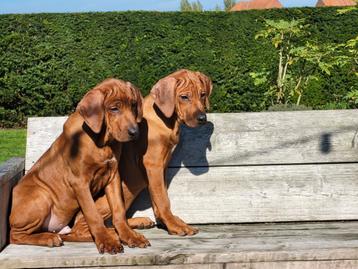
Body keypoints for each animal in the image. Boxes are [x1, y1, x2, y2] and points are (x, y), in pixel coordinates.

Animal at [9, 78, 149, 253]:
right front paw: (107, 241)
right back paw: (49, 238)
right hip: (41, 196)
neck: (101, 142)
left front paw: (129, 235)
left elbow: (119, 211)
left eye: (133, 106)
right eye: (114, 109)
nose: (135, 132)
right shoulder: (80, 182)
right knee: (16, 235)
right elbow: (93, 214)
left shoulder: (113, 177)